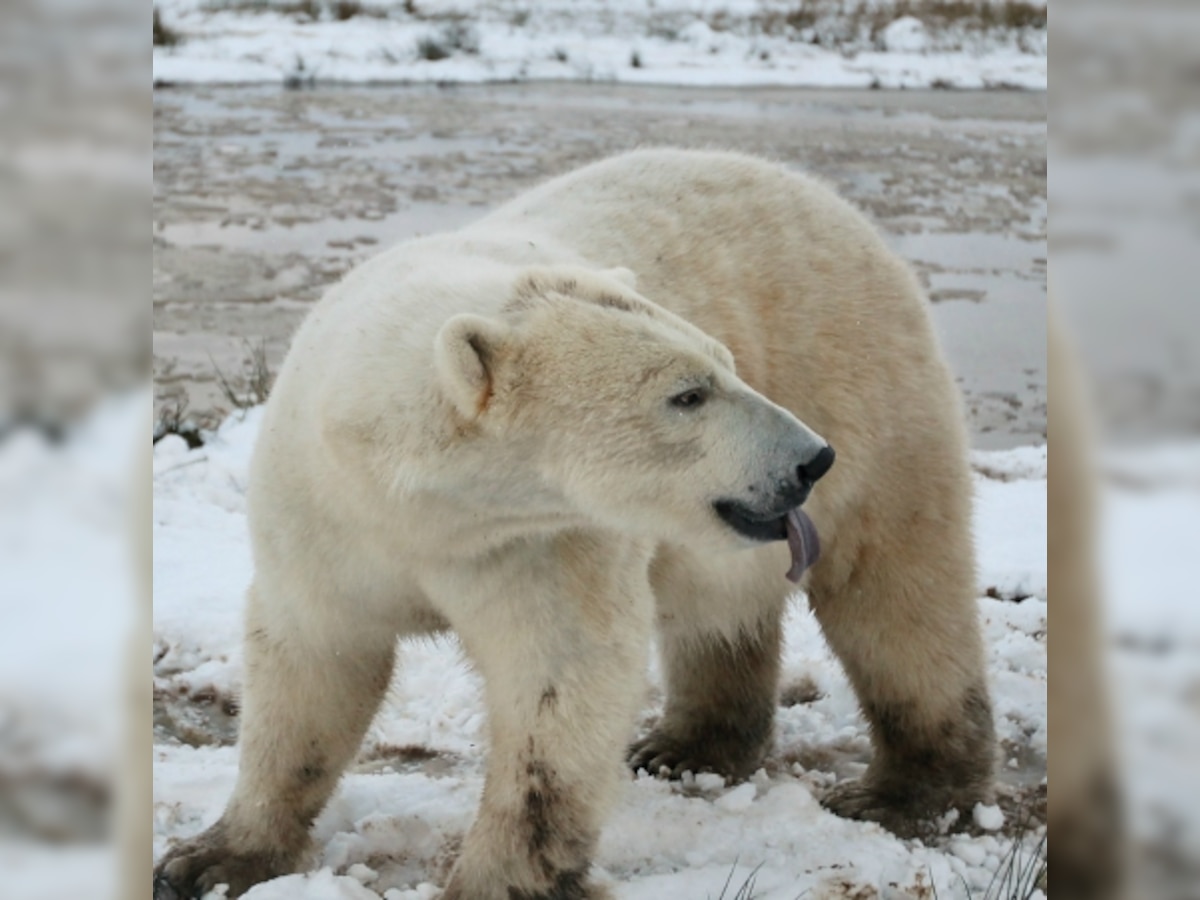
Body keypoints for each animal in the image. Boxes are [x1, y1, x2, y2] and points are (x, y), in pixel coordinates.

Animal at [153, 148, 994, 900]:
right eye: (689, 393)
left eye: (724, 364)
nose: (810, 459)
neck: (417, 504)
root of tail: (833, 202)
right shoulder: (326, 521)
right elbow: (313, 662)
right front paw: (211, 859)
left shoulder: (542, 537)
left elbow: (559, 677)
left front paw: (494, 884)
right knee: (724, 609)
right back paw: (688, 747)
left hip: (870, 393)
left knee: (901, 600)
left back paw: (906, 791)